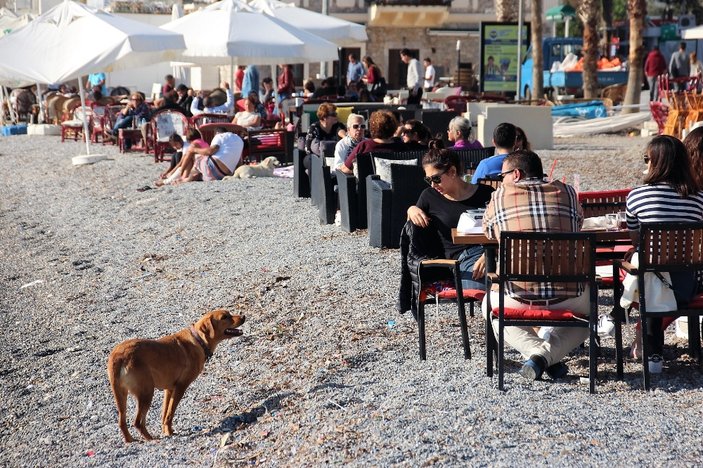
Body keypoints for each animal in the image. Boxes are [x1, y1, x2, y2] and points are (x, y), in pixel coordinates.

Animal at [106, 308, 245, 440]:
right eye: (224, 317)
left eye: (229, 313)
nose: (243, 316)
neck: (199, 340)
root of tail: (119, 355)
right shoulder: (180, 387)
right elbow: (170, 413)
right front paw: (168, 432)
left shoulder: (169, 389)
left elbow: (164, 413)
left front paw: (167, 430)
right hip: (146, 393)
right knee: (138, 422)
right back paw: (151, 439)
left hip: (121, 395)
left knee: (122, 422)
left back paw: (130, 440)